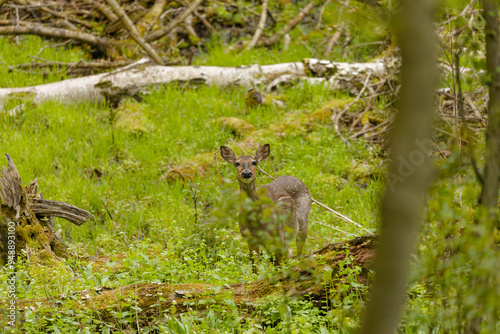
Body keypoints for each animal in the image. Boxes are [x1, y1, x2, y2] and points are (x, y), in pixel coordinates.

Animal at [220, 144, 310, 272]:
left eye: (254, 162)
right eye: (237, 163)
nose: (246, 173)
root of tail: (299, 180)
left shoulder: (278, 234)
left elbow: (277, 265)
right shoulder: (250, 239)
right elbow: (255, 268)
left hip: (303, 220)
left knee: (299, 251)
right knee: (290, 253)